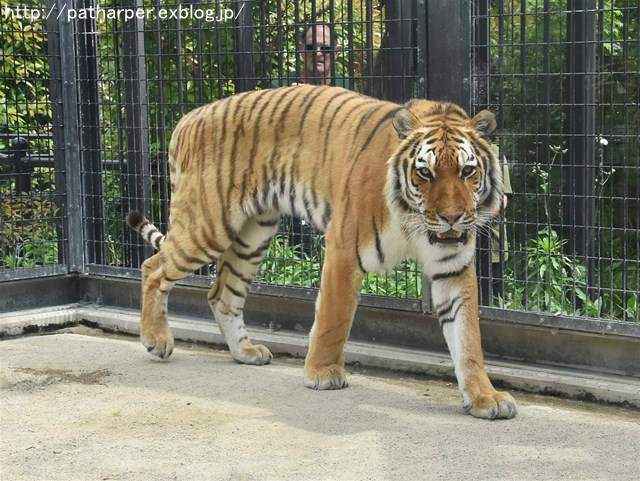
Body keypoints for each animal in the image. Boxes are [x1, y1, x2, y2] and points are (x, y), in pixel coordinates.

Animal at [127, 84, 516, 418]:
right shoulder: (345, 248)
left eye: (467, 171)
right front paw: (323, 372)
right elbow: (334, 316)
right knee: (153, 268)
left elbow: (468, 339)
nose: (451, 217)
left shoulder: (452, 267)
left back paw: (246, 352)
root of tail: (189, 117)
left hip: (254, 235)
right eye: (425, 173)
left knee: (222, 294)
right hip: (208, 225)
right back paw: (156, 339)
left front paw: (485, 397)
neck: (416, 221)